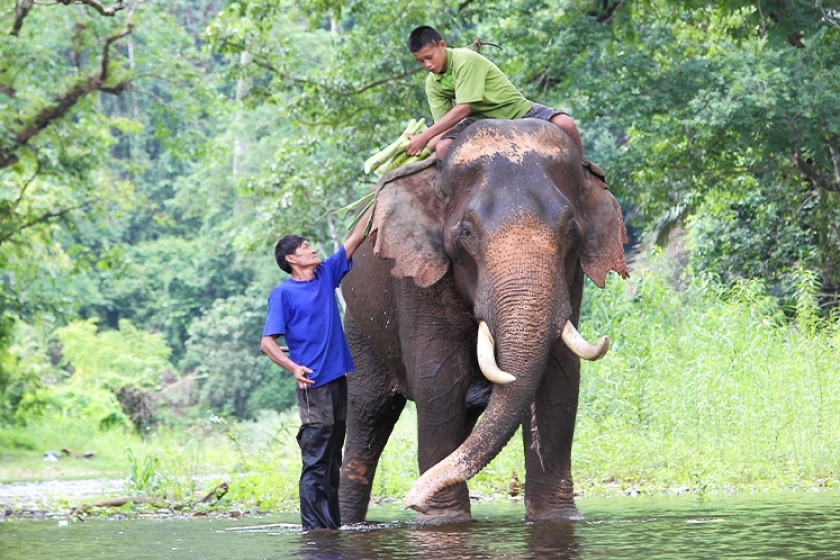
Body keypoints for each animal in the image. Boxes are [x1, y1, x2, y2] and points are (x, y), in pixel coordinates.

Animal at [338, 118, 628, 524]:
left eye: (571, 231)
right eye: (467, 234)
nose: (410, 500)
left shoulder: (572, 281)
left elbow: (561, 378)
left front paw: (556, 518)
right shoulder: (418, 277)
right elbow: (437, 378)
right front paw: (442, 521)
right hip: (358, 330)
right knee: (368, 416)